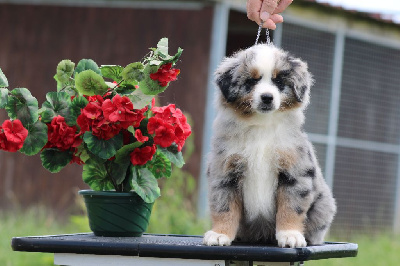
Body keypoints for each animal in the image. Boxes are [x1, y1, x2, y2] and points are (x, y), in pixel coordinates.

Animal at [202, 43, 336, 247]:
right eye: (251, 82)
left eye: (278, 82)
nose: (267, 97)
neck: (262, 126)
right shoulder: (224, 172)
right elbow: (224, 207)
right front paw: (220, 234)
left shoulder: (294, 171)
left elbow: (291, 207)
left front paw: (290, 235)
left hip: (324, 205)